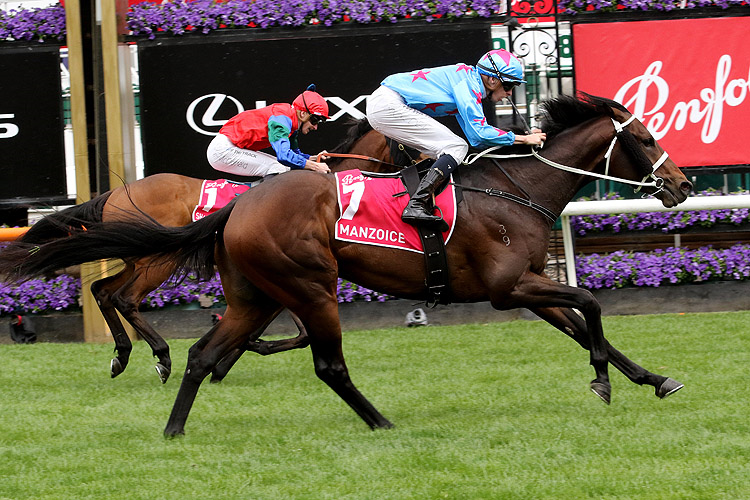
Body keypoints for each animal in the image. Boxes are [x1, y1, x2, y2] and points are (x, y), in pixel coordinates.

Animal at [17, 118, 418, 382]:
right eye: (409, 143)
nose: (420, 175)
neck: (326, 193)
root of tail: (114, 193)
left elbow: (294, 331)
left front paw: (232, 353)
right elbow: (295, 331)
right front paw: (230, 355)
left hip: (139, 259)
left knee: (102, 290)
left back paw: (122, 355)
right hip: (157, 262)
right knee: (124, 298)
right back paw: (161, 356)